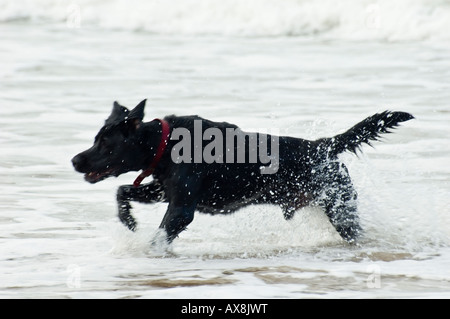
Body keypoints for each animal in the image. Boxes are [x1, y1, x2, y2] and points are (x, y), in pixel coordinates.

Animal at [72, 101, 414, 246]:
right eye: (96, 138)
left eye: (105, 143)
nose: (75, 160)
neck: (163, 143)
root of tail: (323, 146)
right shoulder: (164, 190)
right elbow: (122, 191)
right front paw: (128, 220)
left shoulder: (181, 208)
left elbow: (158, 236)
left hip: (341, 209)